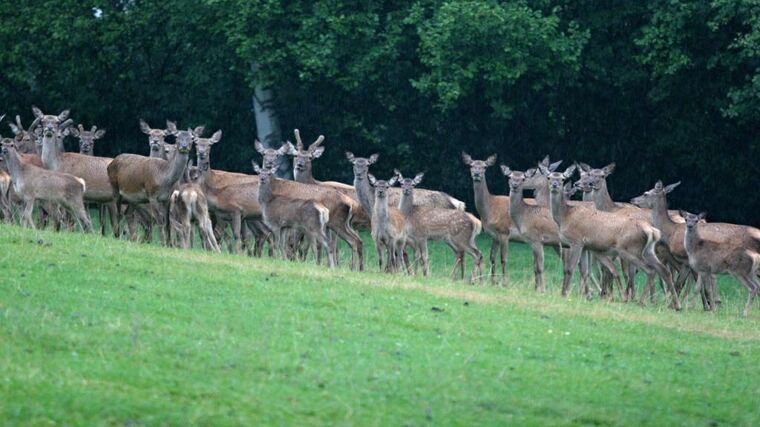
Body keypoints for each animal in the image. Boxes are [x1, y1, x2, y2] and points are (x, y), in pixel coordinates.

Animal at [540, 166, 684, 310]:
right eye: (549, 177)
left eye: (562, 179)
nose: (554, 185)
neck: (565, 217)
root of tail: (652, 230)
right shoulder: (585, 246)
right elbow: (585, 271)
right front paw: (588, 296)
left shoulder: (576, 241)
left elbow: (569, 269)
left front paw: (564, 293)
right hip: (648, 251)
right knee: (663, 271)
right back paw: (675, 305)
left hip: (629, 250)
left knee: (650, 270)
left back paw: (641, 301)